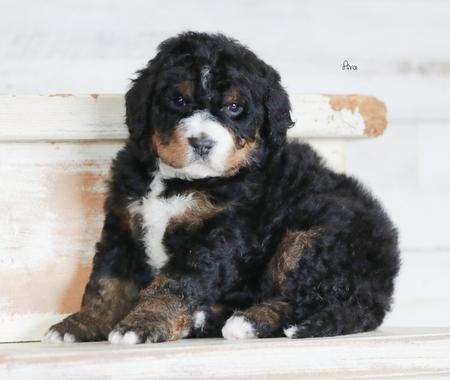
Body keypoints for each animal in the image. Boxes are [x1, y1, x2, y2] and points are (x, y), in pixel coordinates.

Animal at [44, 32, 400, 344]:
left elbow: (173, 285)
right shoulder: (124, 222)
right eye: (179, 99)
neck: (182, 181)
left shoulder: (217, 236)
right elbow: (107, 281)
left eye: (233, 107)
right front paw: (81, 323)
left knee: (307, 297)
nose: (202, 143)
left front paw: (142, 323)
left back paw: (248, 321)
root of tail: (380, 290)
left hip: (315, 235)